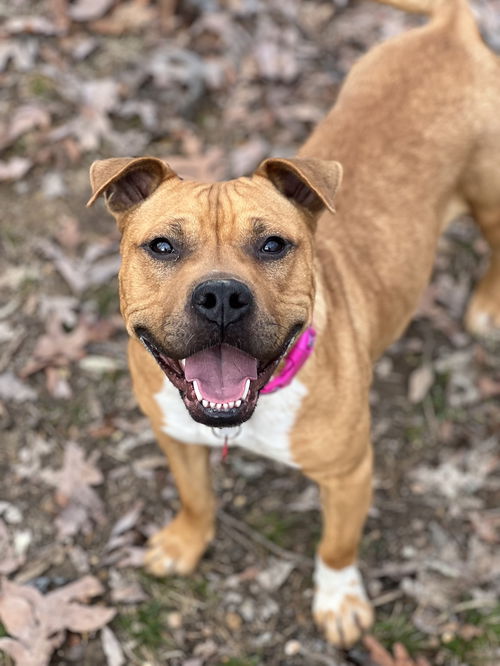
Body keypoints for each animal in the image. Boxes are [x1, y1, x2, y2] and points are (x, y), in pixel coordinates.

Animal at [86, 0, 500, 644]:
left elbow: (336, 545)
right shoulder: (174, 434)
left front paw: (339, 601)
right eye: (162, 247)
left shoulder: (350, 474)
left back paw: (485, 305)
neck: (251, 411)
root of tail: (451, 30)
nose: (221, 296)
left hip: (490, 199)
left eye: (273, 245)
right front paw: (184, 543)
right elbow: (196, 497)